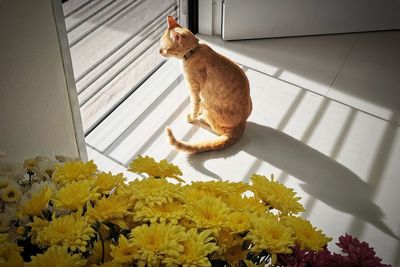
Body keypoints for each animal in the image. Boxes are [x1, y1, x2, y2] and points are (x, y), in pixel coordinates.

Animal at [160, 16, 252, 154]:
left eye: (164, 48)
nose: (159, 51)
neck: (193, 52)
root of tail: (242, 124)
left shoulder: (194, 90)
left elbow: (194, 106)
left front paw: (192, 117)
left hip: (208, 104)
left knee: (218, 130)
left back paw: (203, 119)